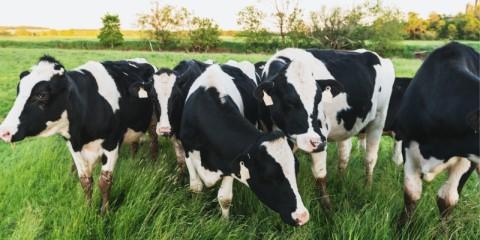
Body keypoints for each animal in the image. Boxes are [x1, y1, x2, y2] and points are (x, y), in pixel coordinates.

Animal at [0, 55, 158, 212]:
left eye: (42, 95)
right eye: (18, 91)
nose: (4, 132)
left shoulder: (111, 143)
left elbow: (104, 182)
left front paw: (104, 212)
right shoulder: (74, 147)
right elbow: (85, 181)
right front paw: (87, 209)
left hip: (154, 121)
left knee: (154, 142)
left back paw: (153, 165)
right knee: (134, 144)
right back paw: (133, 162)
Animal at [178, 63, 310, 225]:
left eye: (296, 169)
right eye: (269, 176)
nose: (302, 216)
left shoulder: (230, 163)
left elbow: (225, 198)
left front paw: (224, 222)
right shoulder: (187, 150)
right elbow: (196, 187)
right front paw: (196, 209)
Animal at [256, 47, 396, 208]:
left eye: (319, 100)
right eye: (289, 102)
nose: (317, 143)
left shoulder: (321, 134)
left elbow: (320, 174)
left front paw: (327, 207)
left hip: (379, 119)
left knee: (370, 158)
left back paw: (367, 187)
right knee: (344, 154)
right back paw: (340, 180)